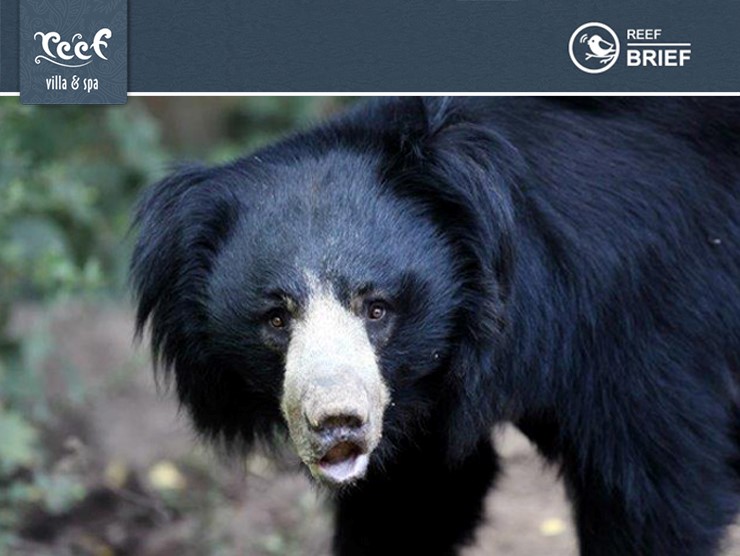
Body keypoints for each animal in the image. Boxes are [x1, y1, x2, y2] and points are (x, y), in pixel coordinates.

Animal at [131, 97, 740, 555]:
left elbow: (653, 489)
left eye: (376, 308)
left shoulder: (639, 310)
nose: (337, 423)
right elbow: (414, 505)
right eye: (277, 318)